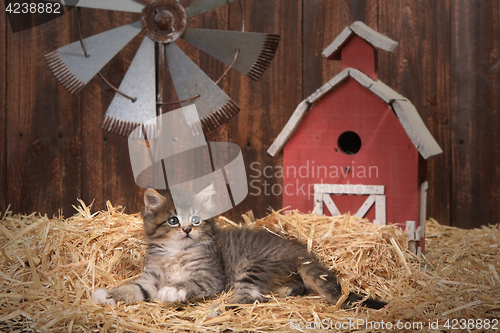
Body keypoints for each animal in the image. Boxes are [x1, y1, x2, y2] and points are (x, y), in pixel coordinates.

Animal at [91, 184, 386, 308]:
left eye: (196, 220)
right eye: (173, 220)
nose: (187, 230)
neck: (176, 253)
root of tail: (301, 251)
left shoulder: (211, 277)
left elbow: (187, 283)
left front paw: (173, 291)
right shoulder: (149, 279)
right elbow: (132, 289)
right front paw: (107, 295)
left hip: (252, 265)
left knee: (250, 296)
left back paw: (219, 309)